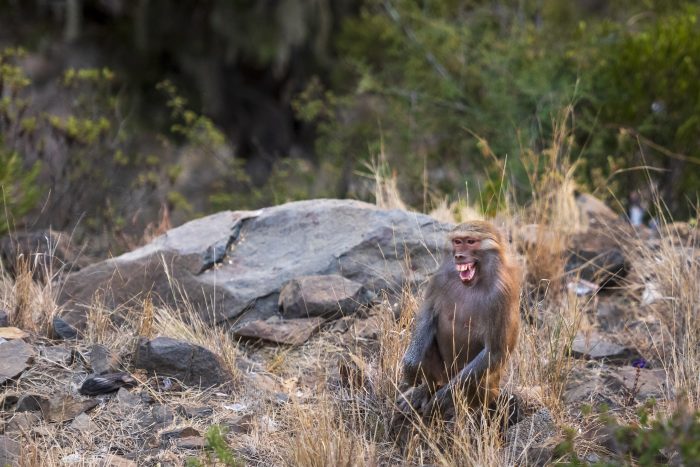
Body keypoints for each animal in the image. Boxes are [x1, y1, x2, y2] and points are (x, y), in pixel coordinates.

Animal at [396, 220, 520, 418]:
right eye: (457, 241)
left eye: (470, 242)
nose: (459, 256)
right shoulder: (439, 279)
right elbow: (427, 316)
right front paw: (410, 369)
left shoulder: (501, 294)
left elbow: (494, 351)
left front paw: (439, 400)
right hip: (443, 373)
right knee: (427, 343)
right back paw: (425, 390)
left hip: (489, 388)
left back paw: (466, 410)